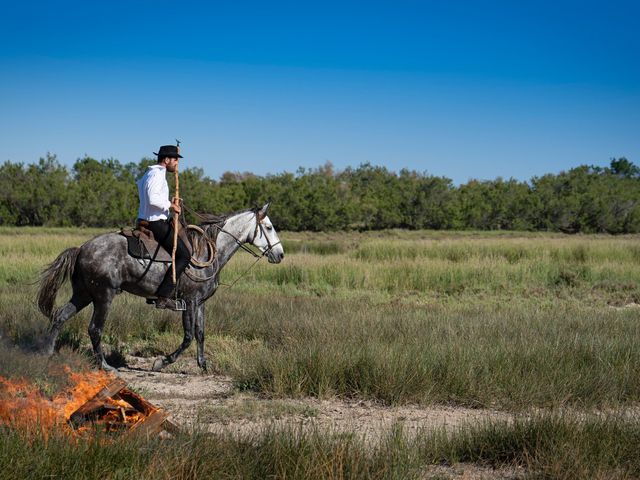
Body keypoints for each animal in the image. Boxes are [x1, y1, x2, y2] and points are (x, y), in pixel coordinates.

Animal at [36, 202, 282, 372]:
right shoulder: (189, 301)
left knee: (59, 316)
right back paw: (105, 366)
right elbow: (188, 337)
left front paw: (203, 365)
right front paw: (162, 362)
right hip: (103, 296)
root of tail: (82, 248)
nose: (280, 254)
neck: (204, 252)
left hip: (83, 294)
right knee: (95, 329)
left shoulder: (200, 302)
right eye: (269, 227)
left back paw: (47, 354)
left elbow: (200, 334)